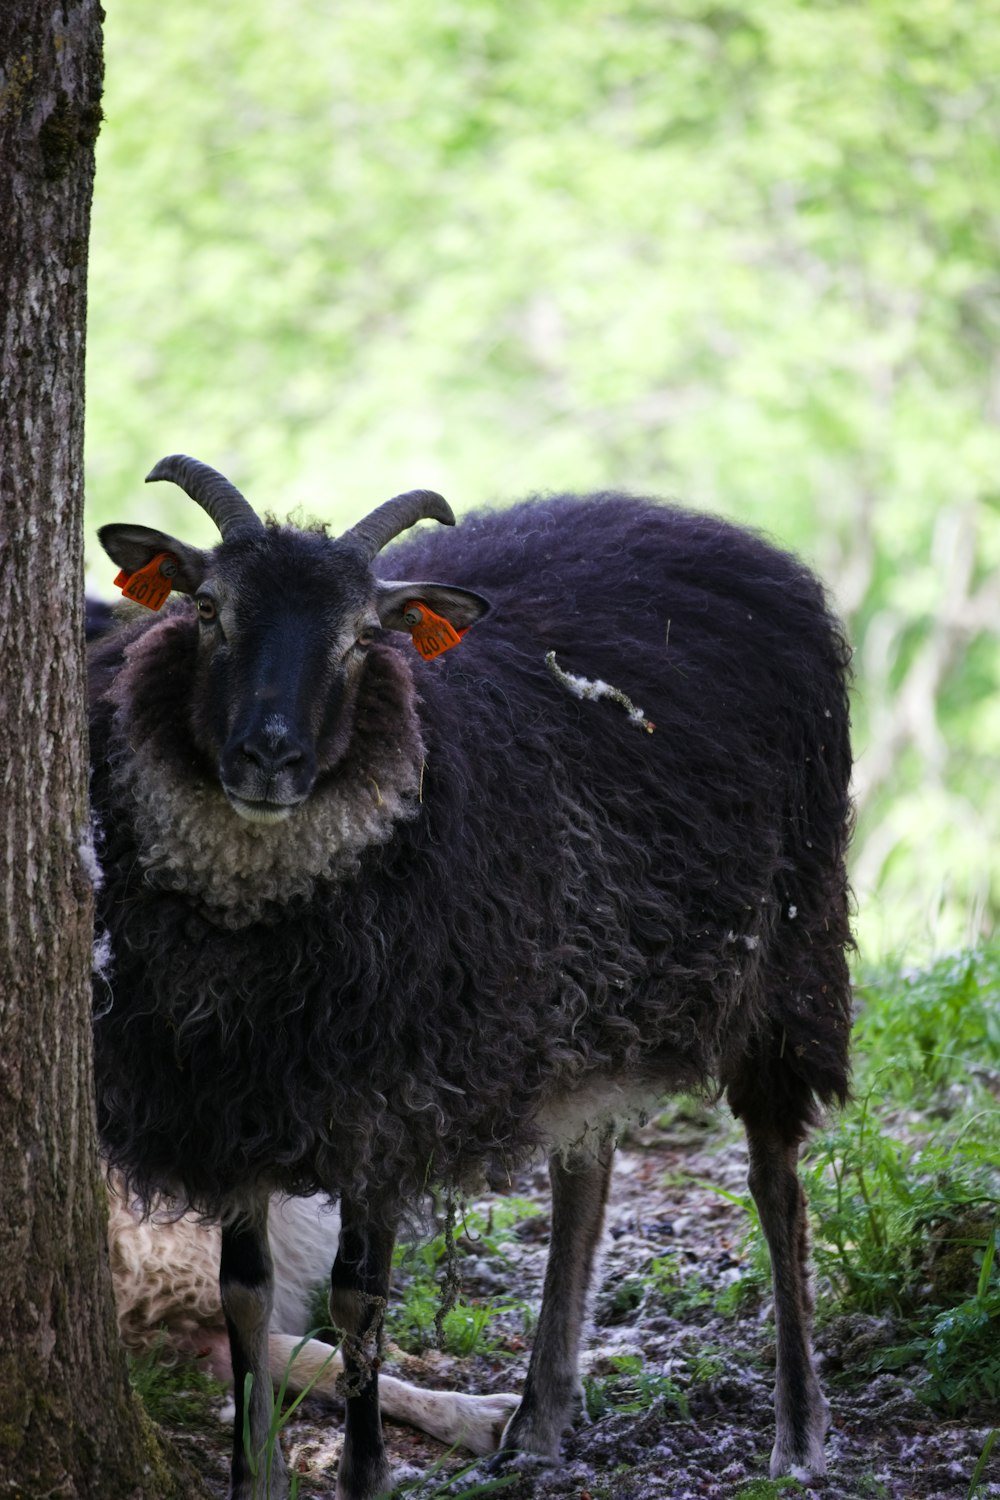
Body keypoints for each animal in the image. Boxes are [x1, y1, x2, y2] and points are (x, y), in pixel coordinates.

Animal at [89, 456, 851, 1500]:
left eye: (365, 636)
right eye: (207, 610)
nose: (269, 757)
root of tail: (708, 529)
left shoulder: (386, 1097)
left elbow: (359, 1301)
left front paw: (364, 1474)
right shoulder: (231, 1102)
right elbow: (244, 1299)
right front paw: (256, 1478)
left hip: (785, 958)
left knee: (777, 1183)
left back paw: (799, 1430)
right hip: (578, 986)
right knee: (585, 1170)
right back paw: (540, 1415)